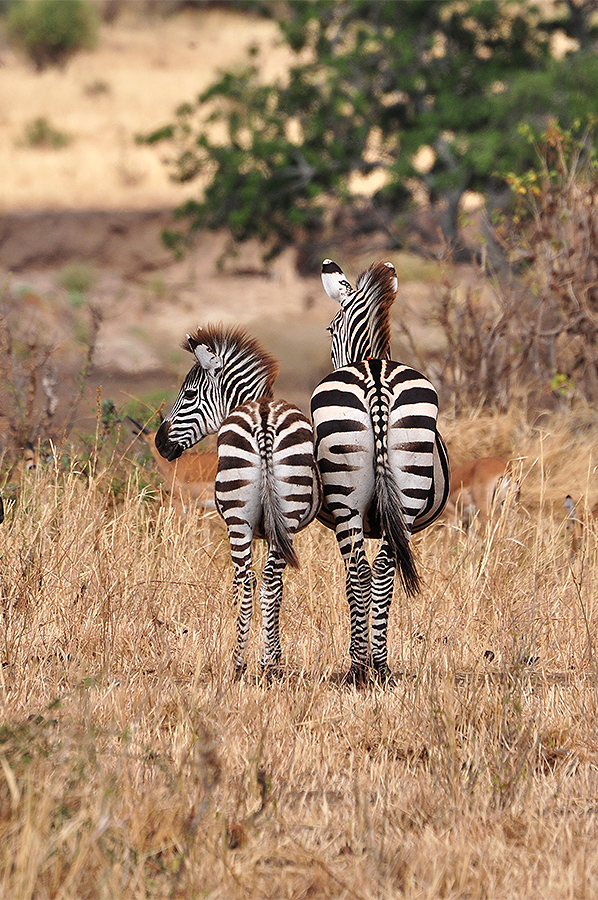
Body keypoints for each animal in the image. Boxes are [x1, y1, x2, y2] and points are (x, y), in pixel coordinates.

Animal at [155, 324, 322, 677]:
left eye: (189, 395)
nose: (160, 443)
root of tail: (263, 418)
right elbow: (276, 588)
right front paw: (273, 654)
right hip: (275, 518)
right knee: (263, 582)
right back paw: (259, 662)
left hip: (240, 519)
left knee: (249, 581)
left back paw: (241, 661)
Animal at [311, 259, 450, 682]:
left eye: (330, 329)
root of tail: (374, 377)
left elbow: (351, 578)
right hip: (406, 494)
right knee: (385, 570)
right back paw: (380, 664)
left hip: (347, 505)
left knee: (358, 570)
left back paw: (359, 666)